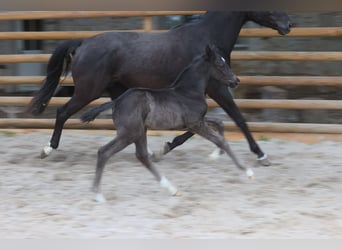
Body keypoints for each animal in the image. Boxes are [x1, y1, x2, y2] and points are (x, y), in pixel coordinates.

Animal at [27, 11, 292, 164]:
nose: (288, 24)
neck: (206, 37)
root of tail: (83, 42)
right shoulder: (218, 88)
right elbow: (239, 118)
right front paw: (261, 154)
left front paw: (167, 146)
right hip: (88, 90)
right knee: (62, 112)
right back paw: (47, 149)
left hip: (118, 91)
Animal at [79, 46, 251, 202]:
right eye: (220, 64)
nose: (236, 81)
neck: (188, 92)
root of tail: (116, 102)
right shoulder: (195, 123)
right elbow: (220, 140)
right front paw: (246, 170)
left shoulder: (196, 121)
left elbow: (219, 123)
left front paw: (215, 155)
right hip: (129, 133)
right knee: (104, 152)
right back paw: (98, 195)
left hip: (140, 131)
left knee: (142, 155)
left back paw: (171, 189)